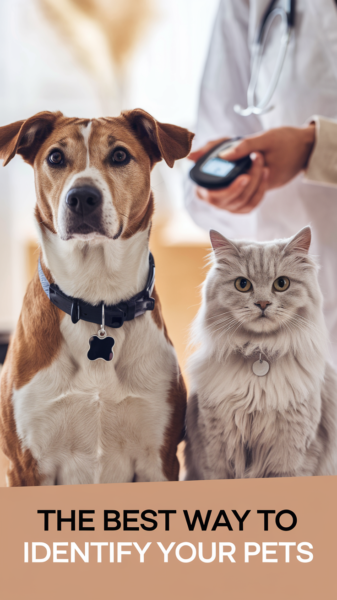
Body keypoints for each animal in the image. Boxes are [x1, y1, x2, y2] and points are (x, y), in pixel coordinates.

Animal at [0, 109, 193, 488]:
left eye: (119, 155)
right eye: (55, 157)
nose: (82, 197)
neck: (97, 300)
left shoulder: (158, 460)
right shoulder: (26, 466)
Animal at [184, 225, 336, 478]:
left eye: (282, 283)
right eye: (242, 285)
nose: (263, 304)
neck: (259, 351)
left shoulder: (291, 455)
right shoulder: (215, 452)